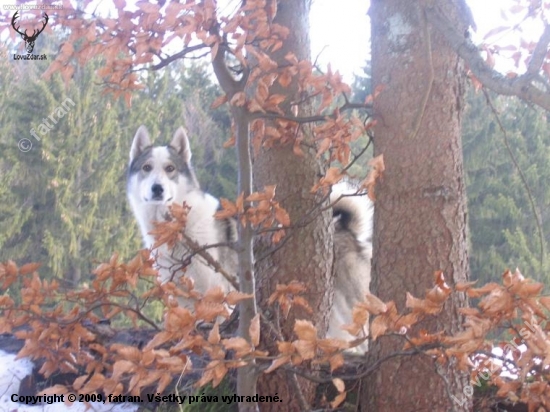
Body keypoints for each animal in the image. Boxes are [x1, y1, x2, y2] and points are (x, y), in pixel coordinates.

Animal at [127, 124, 374, 350]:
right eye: (147, 167)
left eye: (170, 168)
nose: (157, 188)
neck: (178, 230)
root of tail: (345, 229)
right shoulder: (181, 297)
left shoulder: (219, 292)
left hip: (350, 308)